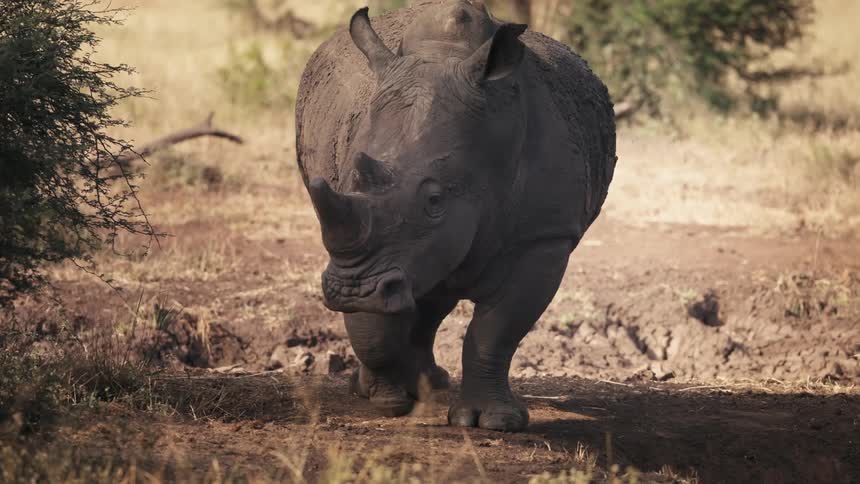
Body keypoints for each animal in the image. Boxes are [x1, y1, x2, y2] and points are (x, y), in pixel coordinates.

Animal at [295, 0, 616, 431]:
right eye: (347, 179)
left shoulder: (545, 235)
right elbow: (372, 324)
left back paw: (430, 382)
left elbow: (496, 330)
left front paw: (491, 422)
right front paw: (389, 397)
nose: (352, 291)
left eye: (435, 200)